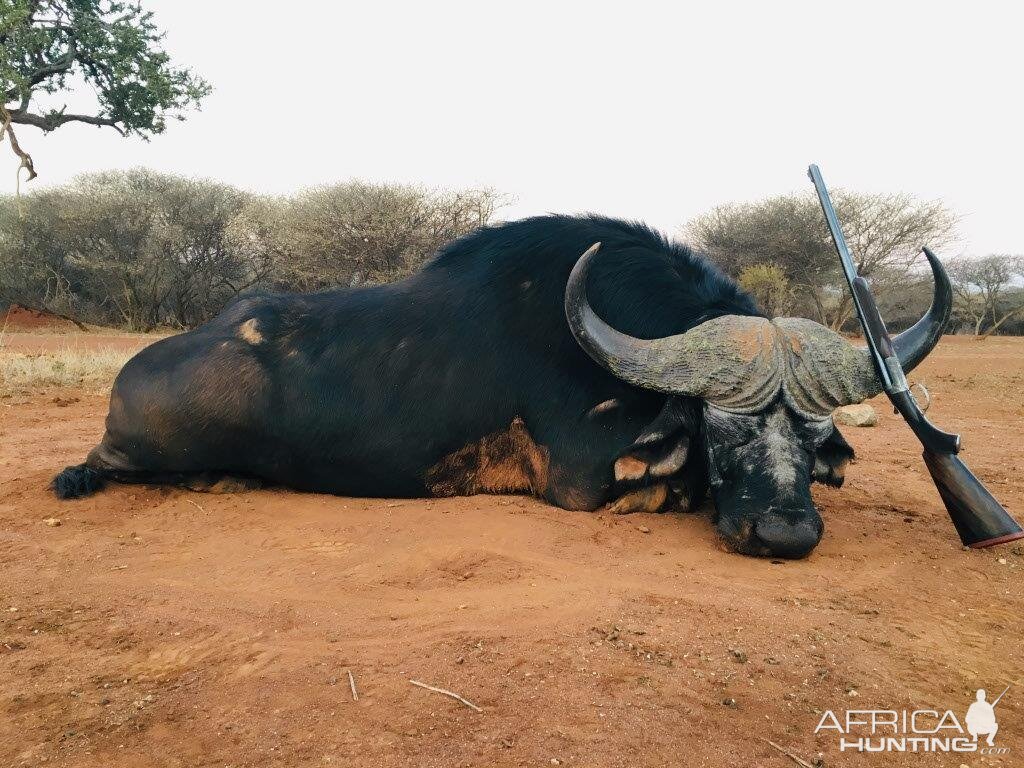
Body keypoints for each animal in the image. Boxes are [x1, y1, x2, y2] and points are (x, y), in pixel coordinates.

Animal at [51, 214, 946, 557]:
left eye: (809, 434)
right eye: (723, 429)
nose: (787, 533)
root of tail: (129, 380)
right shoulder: (583, 481)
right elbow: (671, 484)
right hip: (141, 449)